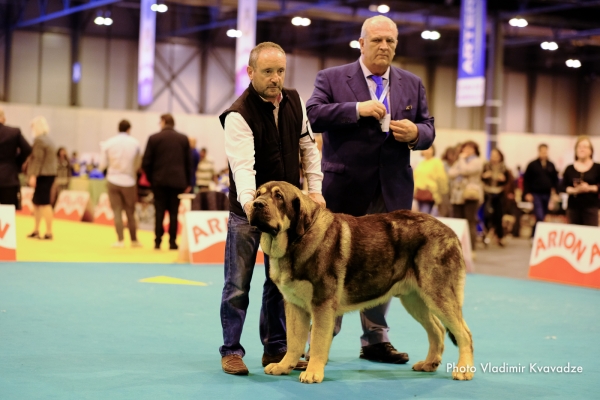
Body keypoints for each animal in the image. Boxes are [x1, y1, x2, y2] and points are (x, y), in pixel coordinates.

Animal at [248, 180, 474, 382]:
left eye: (278, 197)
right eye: (258, 193)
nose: (256, 204)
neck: (296, 240)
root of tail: (451, 232)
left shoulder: (322, 304)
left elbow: (318, 340)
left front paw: (313, 373)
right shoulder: (294, 305)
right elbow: (294, 341)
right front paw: (283, 366)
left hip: (438, 294)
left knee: (464, 333)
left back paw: (463, 370)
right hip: (415, 299)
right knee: (437, 329)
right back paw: (429, 363)